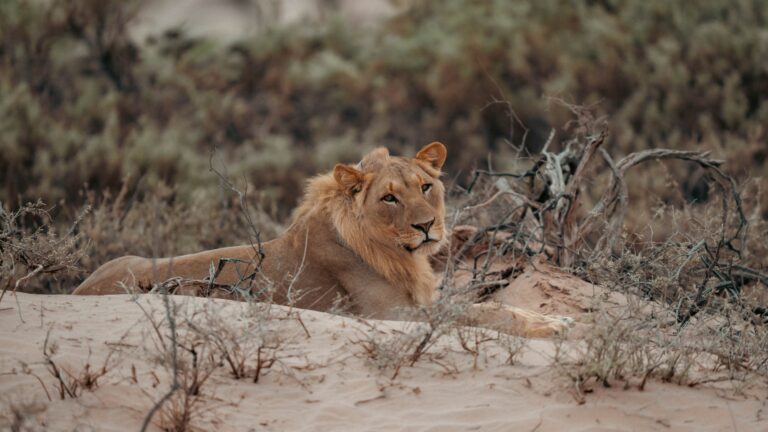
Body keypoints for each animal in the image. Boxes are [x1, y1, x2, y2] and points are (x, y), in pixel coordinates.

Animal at [73, 143, 572, 337]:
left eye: (426, 186)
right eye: (390, 197)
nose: (428, 225)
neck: (394, 251)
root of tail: (79, 290)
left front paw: (551, 317)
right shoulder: (398, 317)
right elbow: (482, 313)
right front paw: (553, 325)